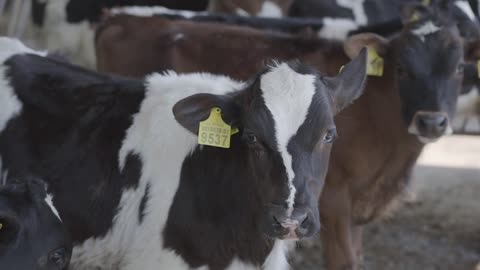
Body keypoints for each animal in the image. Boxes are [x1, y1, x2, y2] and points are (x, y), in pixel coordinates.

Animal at [94, 3, 472, 268]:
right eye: (401, 68)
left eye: (459, 68)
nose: (431, 122)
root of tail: (119, 16)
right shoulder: (335, 200)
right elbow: (344, 260)